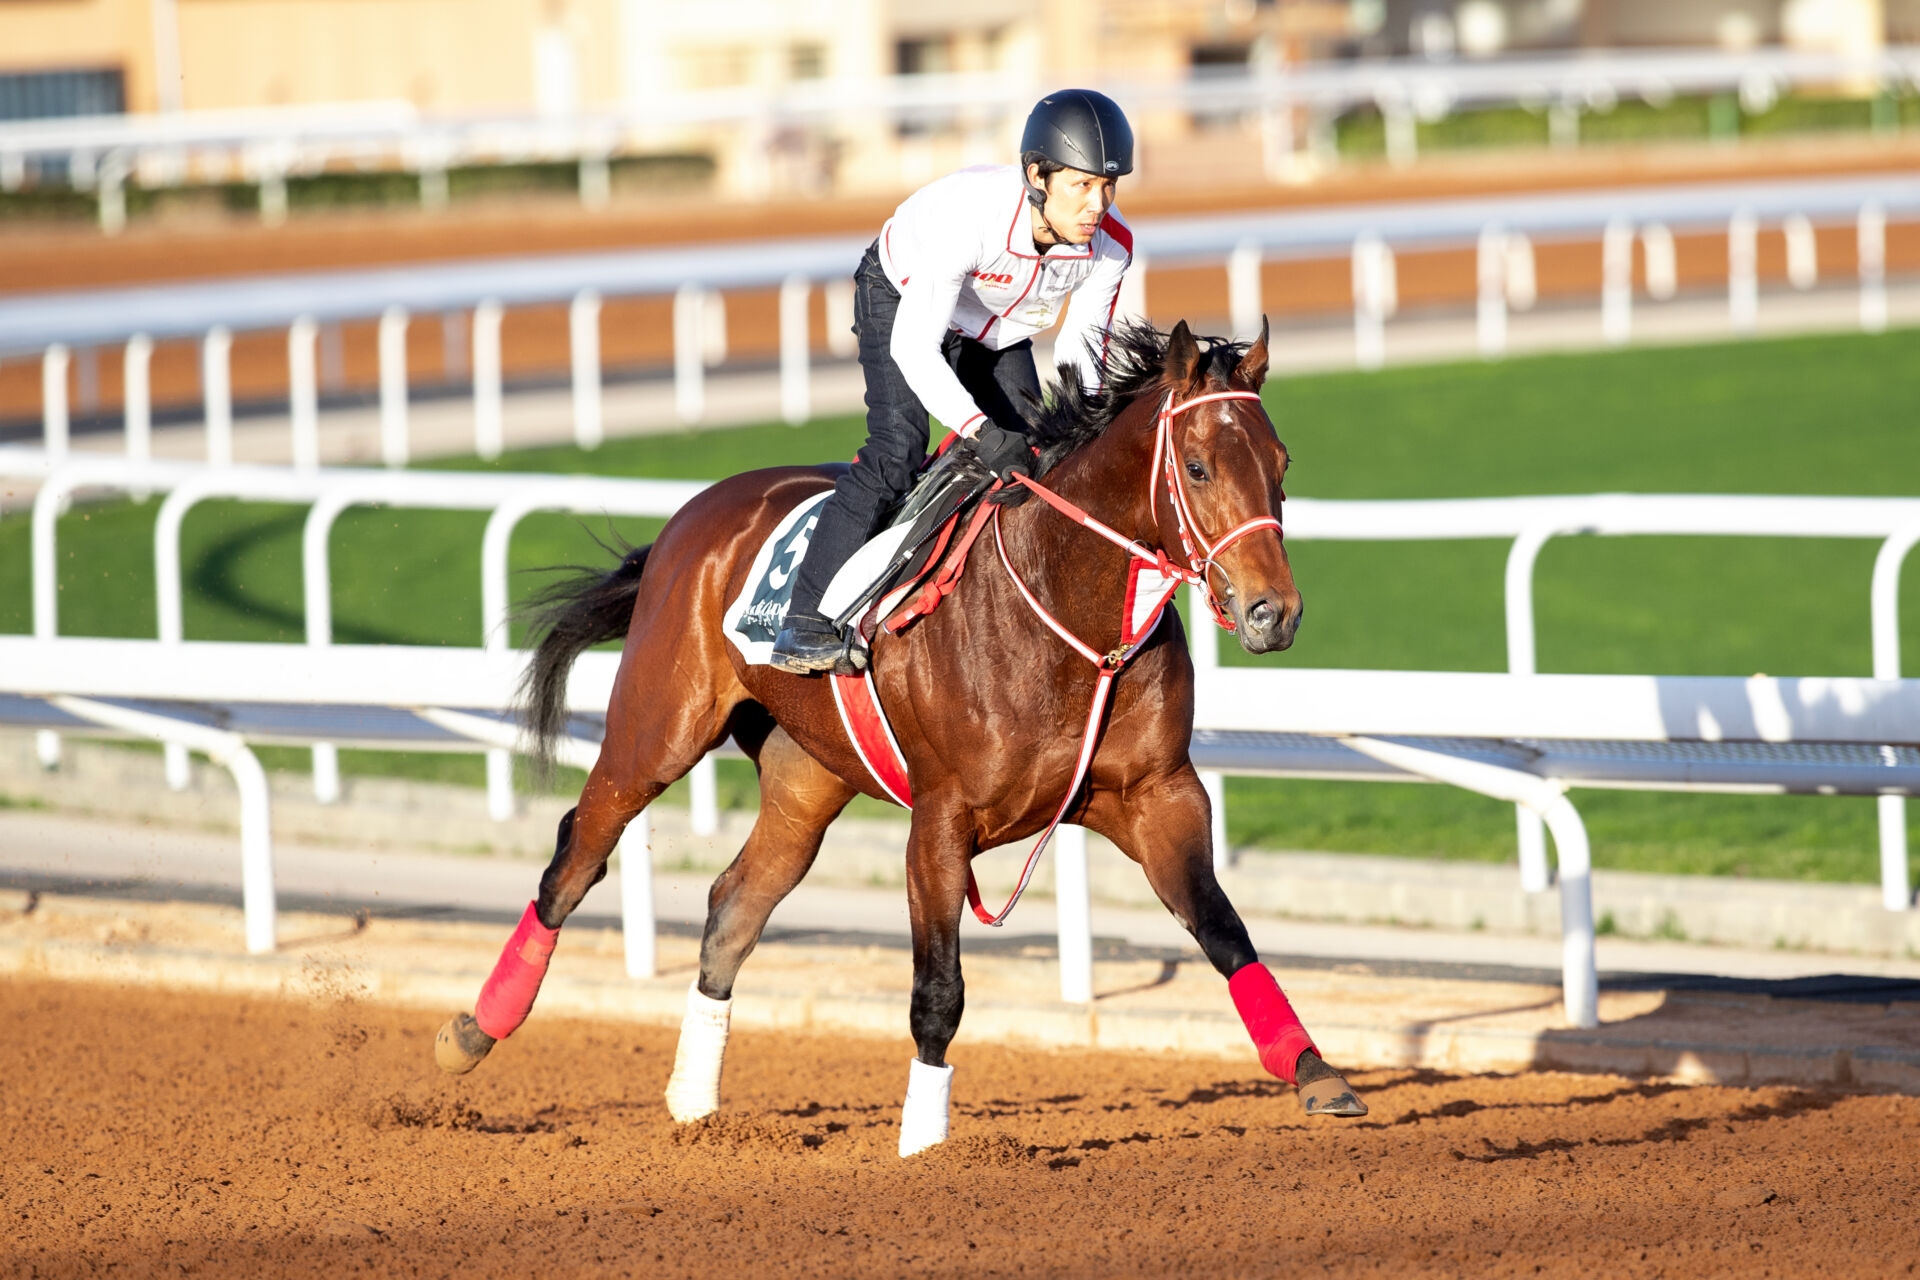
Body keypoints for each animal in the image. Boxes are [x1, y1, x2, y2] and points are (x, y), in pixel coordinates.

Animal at [432, 318, 1369, 1155]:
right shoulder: (941, 820)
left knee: (734, 903)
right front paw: (925, 1147)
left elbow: (1223, 928)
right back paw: (473, 1031)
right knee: (576, 856)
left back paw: (696, 1109)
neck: (1067, 606)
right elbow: (938, 990)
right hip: (655, 731)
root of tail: (689, 519)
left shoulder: (1157, 794)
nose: (1274, 613)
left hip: (807, 778)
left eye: (1281, 465)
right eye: (1200, 467)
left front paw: (1315, 1071)